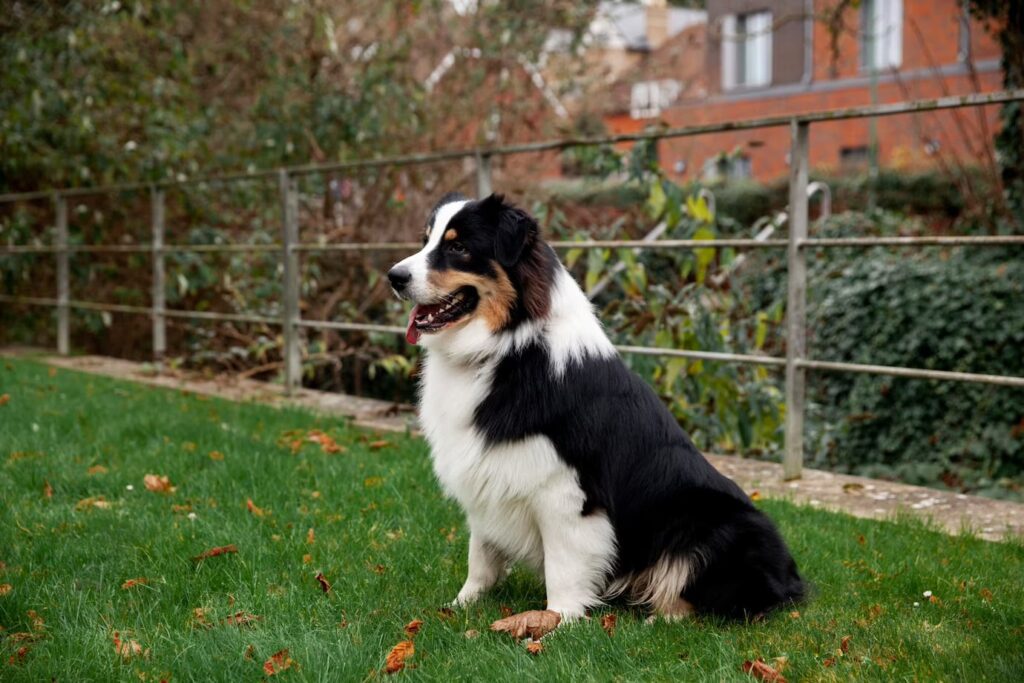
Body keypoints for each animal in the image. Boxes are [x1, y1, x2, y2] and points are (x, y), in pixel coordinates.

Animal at [387, 192, 802, 626]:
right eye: (427, 240)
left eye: (459, 248)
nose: (393, 276)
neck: (507, 347)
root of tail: (792, 580)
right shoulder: (488, 471)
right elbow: (481, 554)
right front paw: (461, 606)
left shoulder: (565, 488)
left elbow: (564, 565)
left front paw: (558, 621)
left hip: (715, 524)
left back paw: (659, 619)